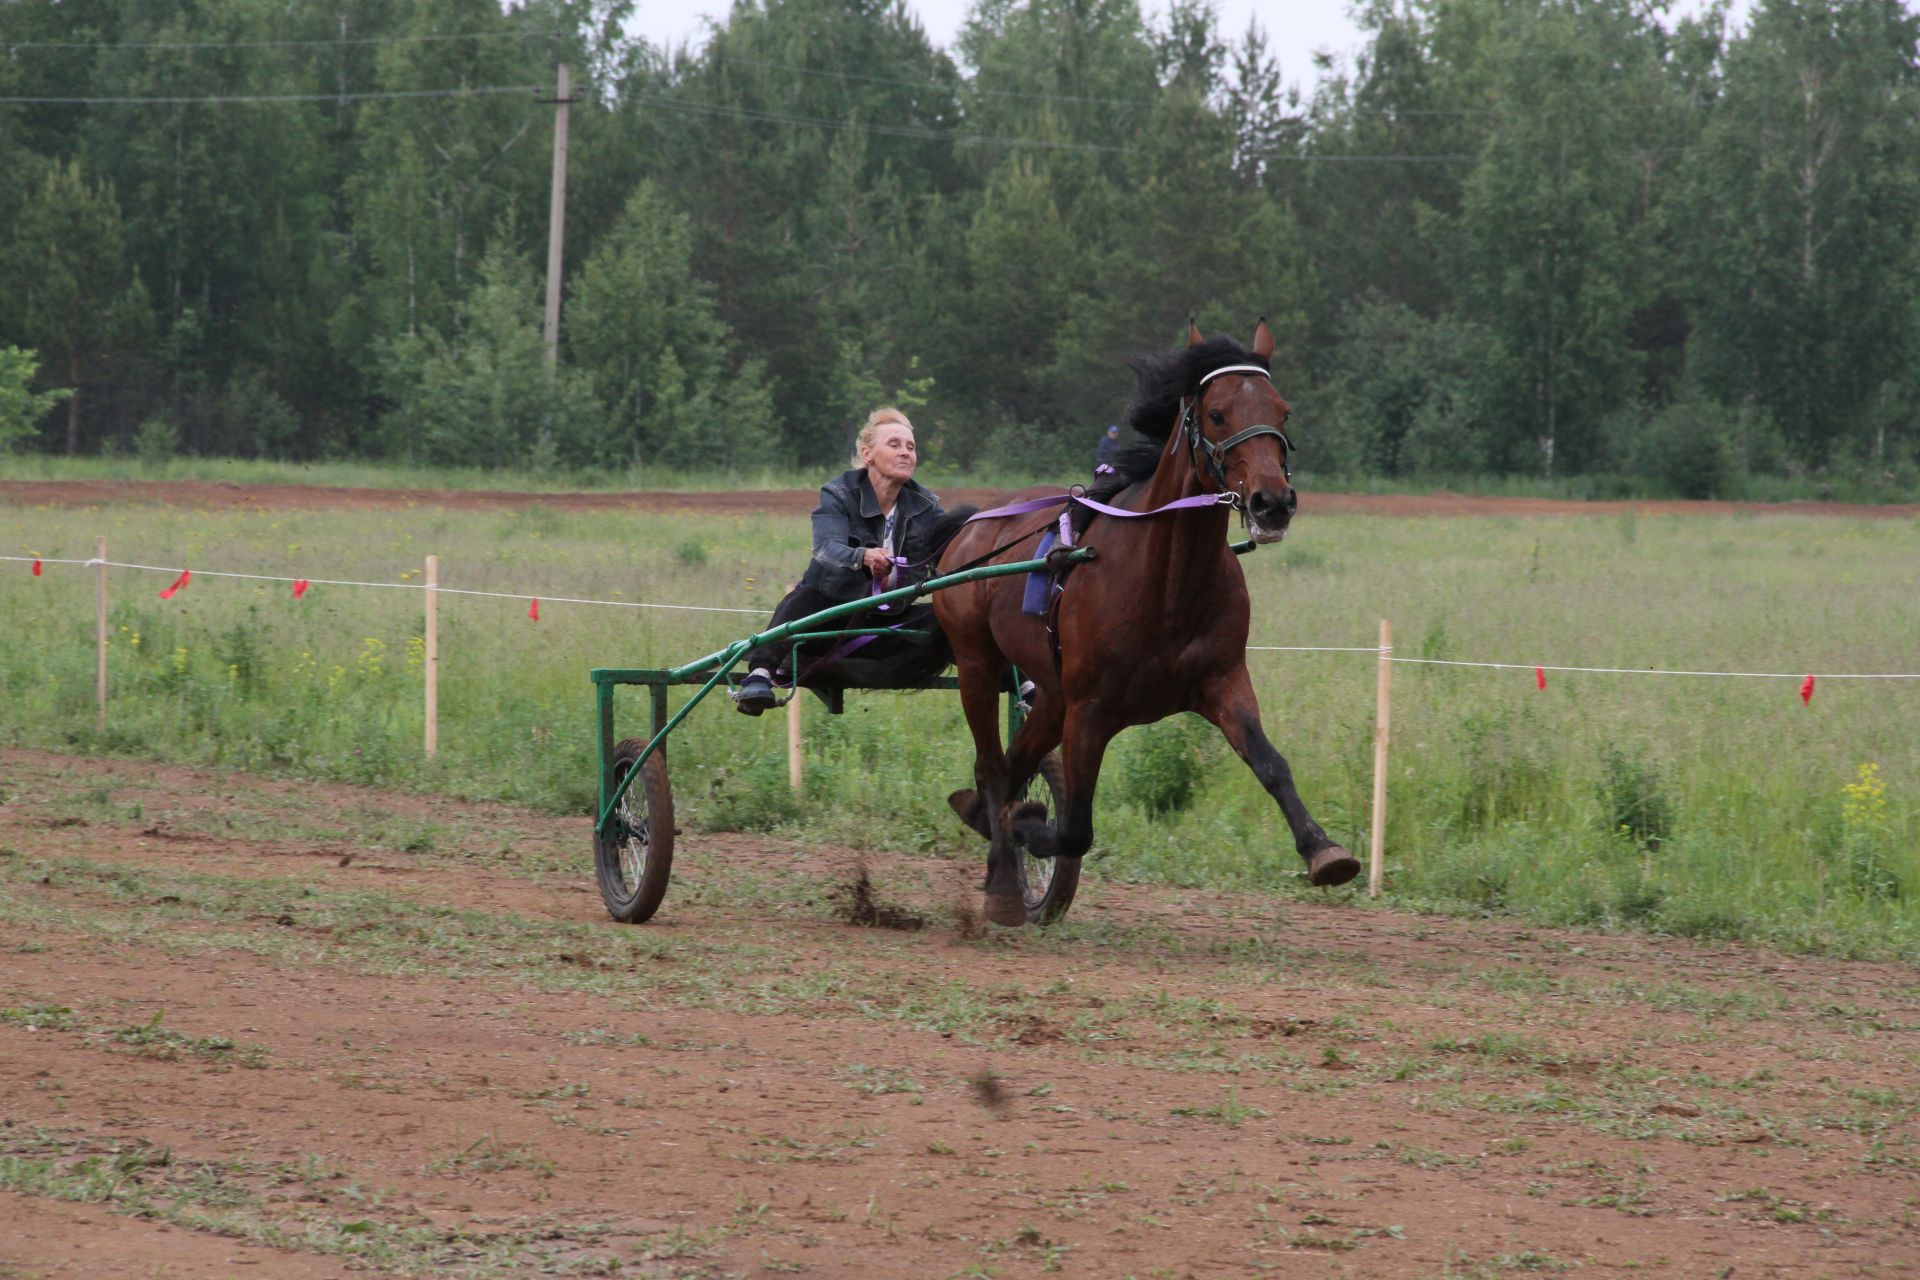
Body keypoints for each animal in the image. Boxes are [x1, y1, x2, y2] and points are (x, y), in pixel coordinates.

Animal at [933, 314, 1359, 924]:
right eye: (1217, 413)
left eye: (1283, 411)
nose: (1273, 503)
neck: (1166, 585)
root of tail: (974, 524)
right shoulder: (1090, 709)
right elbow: (1075, 829)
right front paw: (1030, 830)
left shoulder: (1221, 679)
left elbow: (1271, 763)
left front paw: (1323, 849)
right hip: (977, 664)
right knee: (994, 768)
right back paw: (1004, 882)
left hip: (1050, 693)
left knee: (1009, 769)